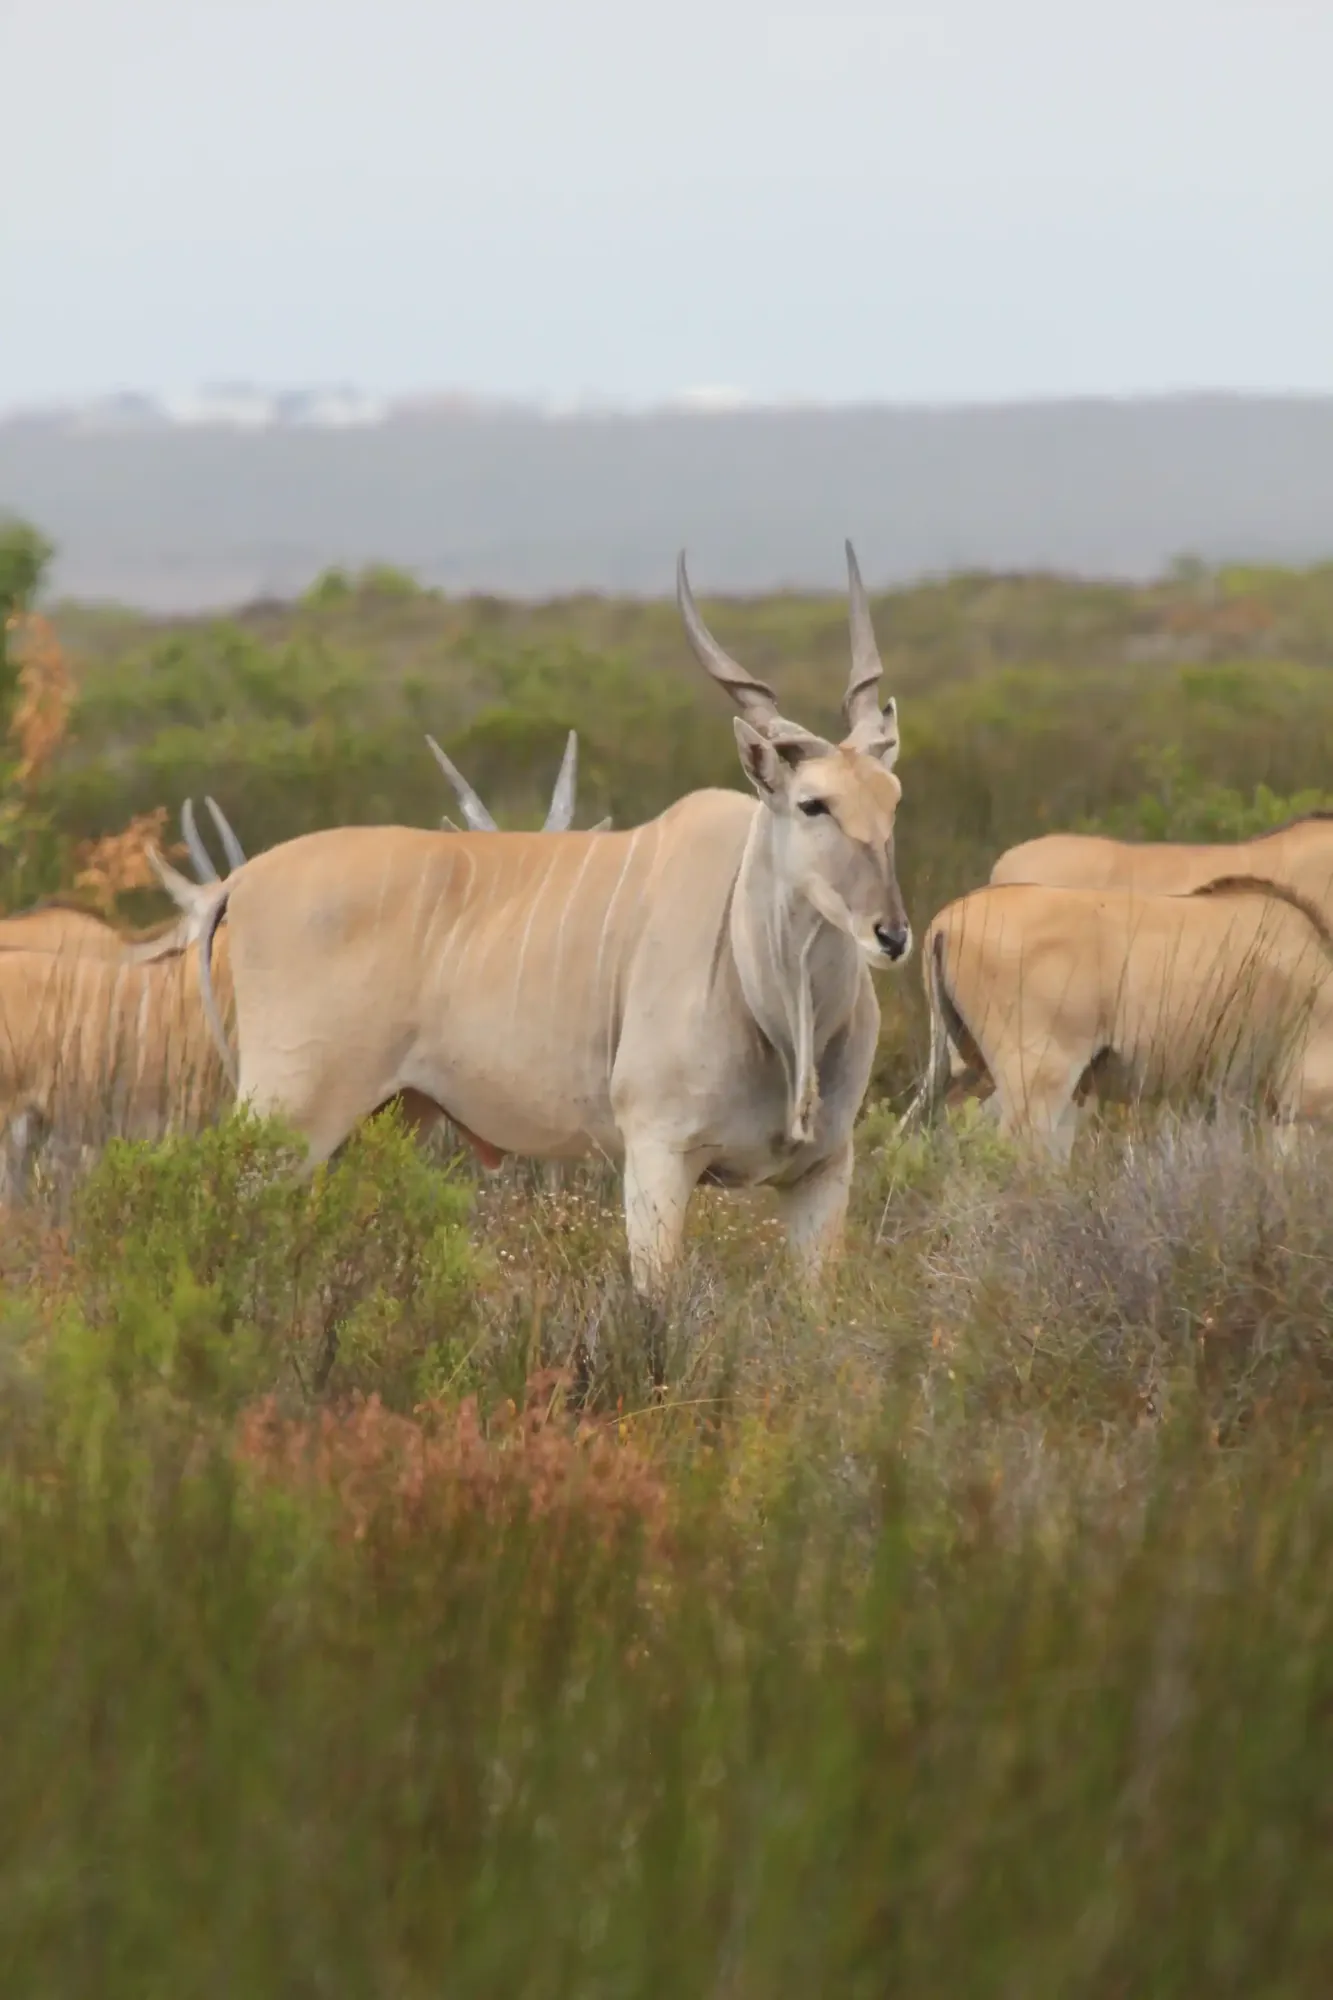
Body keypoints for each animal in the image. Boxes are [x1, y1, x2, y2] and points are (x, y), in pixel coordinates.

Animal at [144, 543, 911, 1293]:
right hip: (287, 1119)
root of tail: (239, 881)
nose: (892, 934)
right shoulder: (658, 1159)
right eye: (812, 803)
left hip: (379, 1123)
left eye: (893, 798)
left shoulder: (821, 1174)